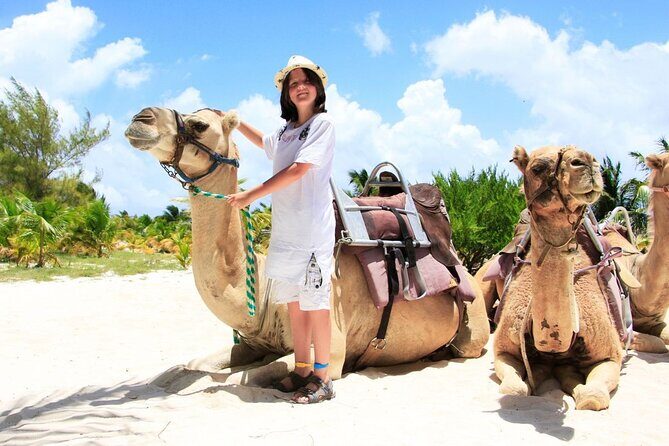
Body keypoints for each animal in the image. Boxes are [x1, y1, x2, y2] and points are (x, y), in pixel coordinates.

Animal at [124, 107, 489, 388]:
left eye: (199, 124)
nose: (140, 118)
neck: (266, 287)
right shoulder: (250, 343)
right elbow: (189, 366)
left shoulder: (331, 349)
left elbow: (237, 379)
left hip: (474, 325)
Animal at [493, 145, 624, 411]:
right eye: (537, 167)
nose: (586, 162)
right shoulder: (503, 349)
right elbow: (515, 388)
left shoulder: (610, 355)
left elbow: (592, 398)